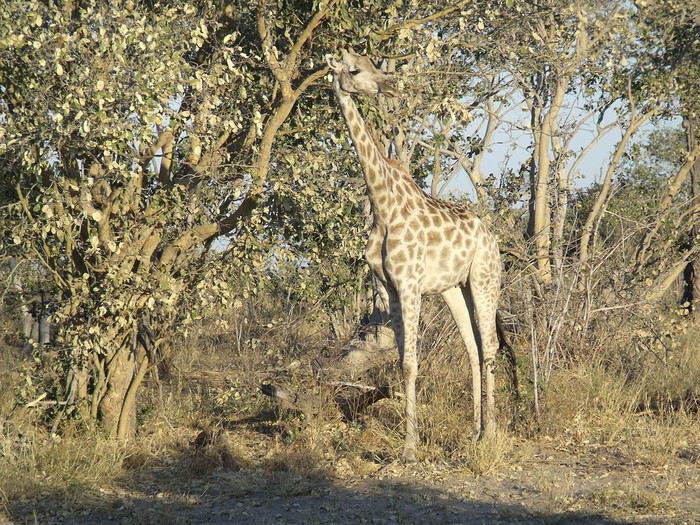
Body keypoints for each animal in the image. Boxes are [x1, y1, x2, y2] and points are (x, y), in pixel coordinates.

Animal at [326, 48, 500, 458]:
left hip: (485, 280)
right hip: (456, 288)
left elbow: (410, 364)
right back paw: (474, 430)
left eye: (372, 65)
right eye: (354, 70)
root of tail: (492, 237)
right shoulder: (391, 287)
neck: (383, 206)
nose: (389, 84)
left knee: (490, 346)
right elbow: (402, 360)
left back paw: (490, 433)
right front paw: (413, 439)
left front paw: (409, 448)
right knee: (473, 348)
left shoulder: (409, 285)